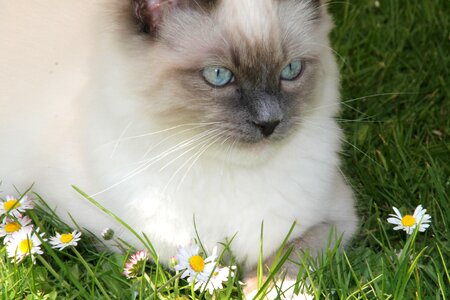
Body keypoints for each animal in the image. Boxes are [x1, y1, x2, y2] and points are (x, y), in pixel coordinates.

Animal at [0, 0, 358, 298]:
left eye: (291, 71)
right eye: (218, 75)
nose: (268, 123)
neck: (229, 174)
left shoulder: (333, 221)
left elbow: (283, 266)